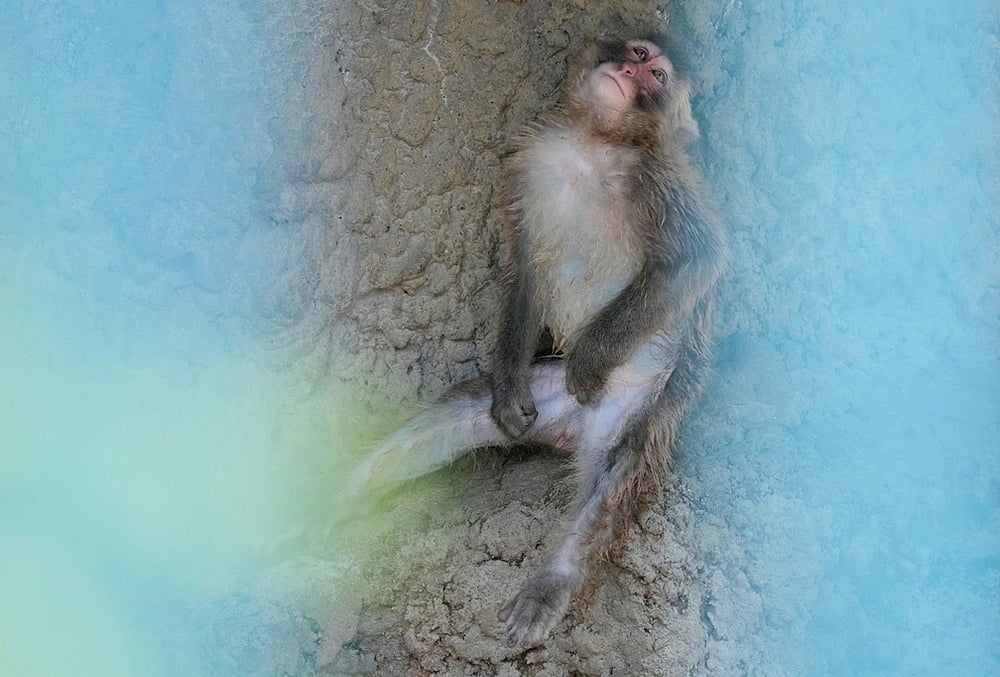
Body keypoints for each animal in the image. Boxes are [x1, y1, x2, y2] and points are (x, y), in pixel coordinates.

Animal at [343, 36, 725, 649]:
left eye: (658, 76)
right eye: (638, 52)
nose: (630, 72)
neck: (593, 143)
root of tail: (575, 429)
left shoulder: (659, 177)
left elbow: (696, 260)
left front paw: (589, 361)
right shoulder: (532, 159)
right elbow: (526, 266)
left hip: (637, 403)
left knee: (615, 474)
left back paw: (552, 582)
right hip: (542, 393)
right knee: (465, 410)